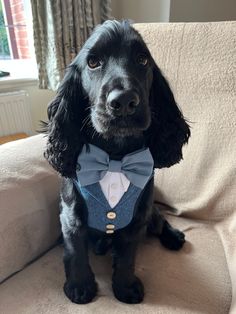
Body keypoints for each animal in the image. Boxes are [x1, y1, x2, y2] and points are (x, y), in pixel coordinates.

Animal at [43, 19, 190, 304]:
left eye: (142, 60)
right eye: (92, 62)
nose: (123, 101)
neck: (114, 156)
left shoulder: (137, 218)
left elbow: (127, 257)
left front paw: (125, 287)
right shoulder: (71, 216)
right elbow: (76, 252)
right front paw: (79, 286)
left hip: (150, 213)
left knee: (160, 221)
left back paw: (174, 236)